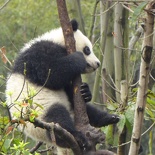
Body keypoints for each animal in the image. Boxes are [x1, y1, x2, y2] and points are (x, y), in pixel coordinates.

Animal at [5, 19, 118, 154]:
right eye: (87, 49)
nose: (97, 64)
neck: (56, 40)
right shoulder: (36, 56)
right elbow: (51, 73)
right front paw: (78, 58)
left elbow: (66, 86)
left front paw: (85, 91)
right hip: (39, 113)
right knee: (58, 117)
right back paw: (78, 137)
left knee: (88, 110)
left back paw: (109, 118)